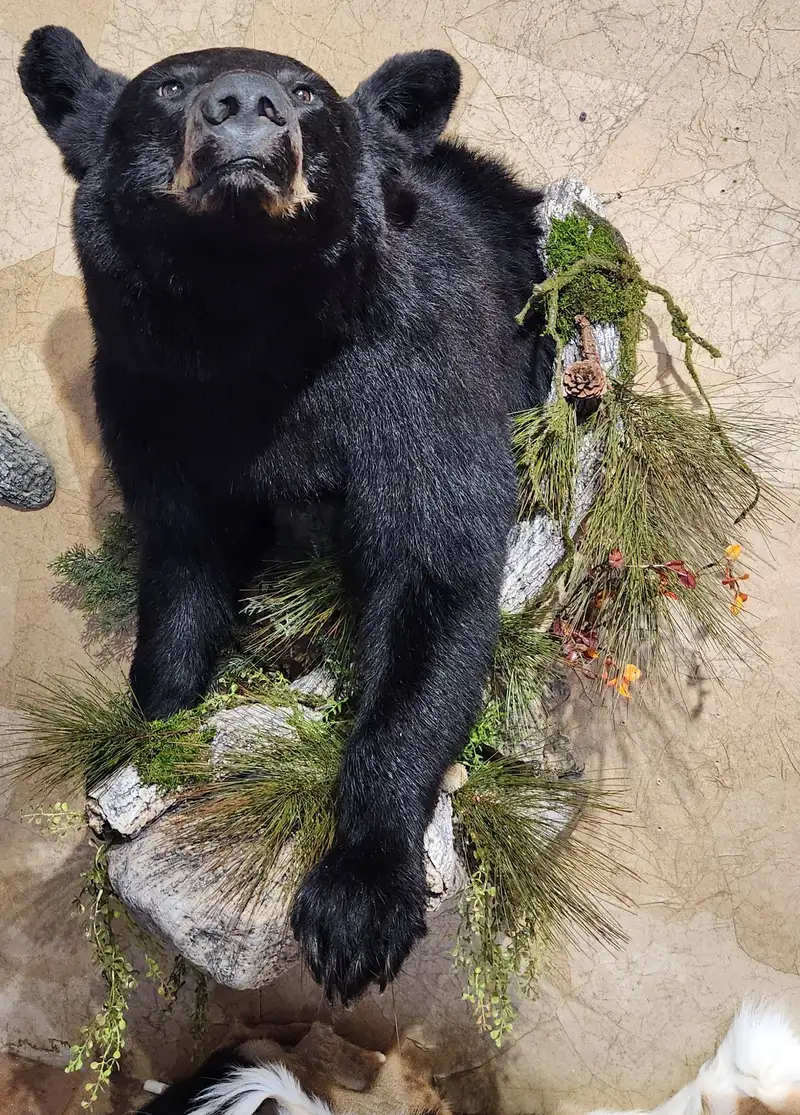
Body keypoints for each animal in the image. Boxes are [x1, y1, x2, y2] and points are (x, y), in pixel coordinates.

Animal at [18, 26, 552, 1003]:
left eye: (308, 92)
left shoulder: (417, 372)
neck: (248, 326)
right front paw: (151, 737)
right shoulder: (151, 397)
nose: (245, 107)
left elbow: (434, 570)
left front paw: (359, 899)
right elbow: (184, 561)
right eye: (170, 85)